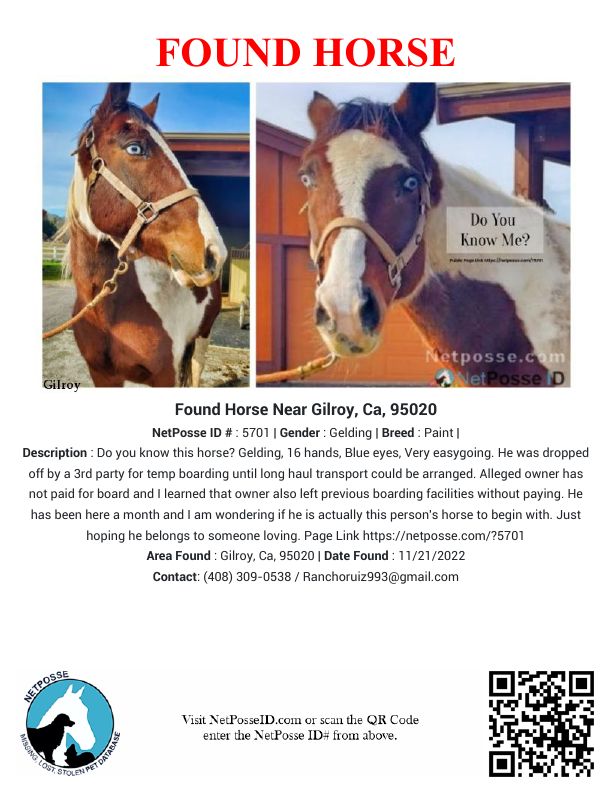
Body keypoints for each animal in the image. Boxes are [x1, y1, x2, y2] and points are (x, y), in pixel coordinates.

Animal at [64, 83, 227, 387]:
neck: (109, 315)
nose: (214, 252)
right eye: (135, 148)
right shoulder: (102, 376)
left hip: (203, 337)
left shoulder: (164, 376)